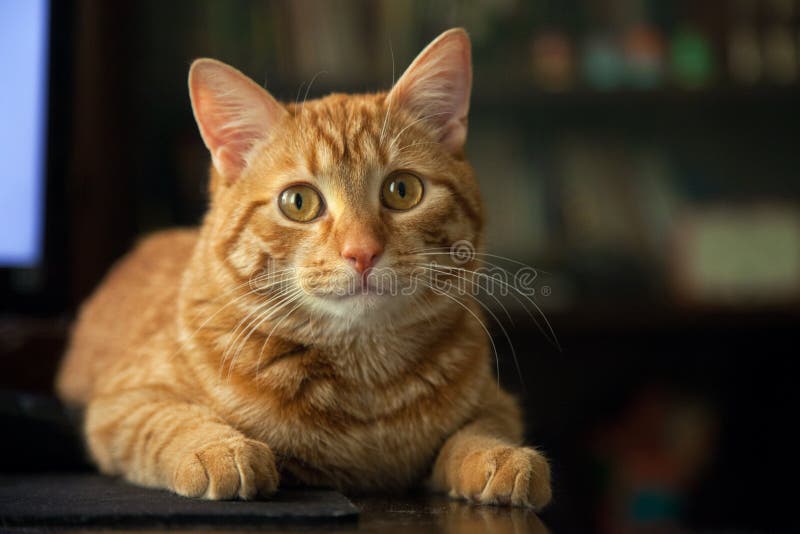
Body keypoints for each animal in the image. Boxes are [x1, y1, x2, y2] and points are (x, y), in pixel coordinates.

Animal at [56, 26, 552, 510]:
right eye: (298, 202)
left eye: (403, 191)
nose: (361, 252)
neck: (364, 374)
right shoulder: (122, 403)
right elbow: (170, 420)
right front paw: (218, 448)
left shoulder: (497, 402)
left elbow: (478, 430)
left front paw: (499, 455)